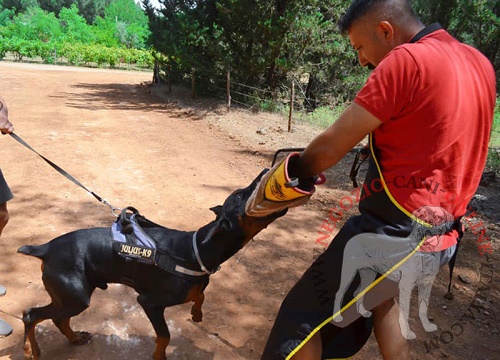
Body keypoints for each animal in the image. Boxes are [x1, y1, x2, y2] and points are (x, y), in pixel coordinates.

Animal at [18, 171, 286, 360]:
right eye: (240, 196)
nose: (265, 170)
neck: (197, 250)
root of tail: (45, 248)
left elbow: (199, 295)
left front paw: (196, 313)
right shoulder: (149, 302)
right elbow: (165, 336)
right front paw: (159, 355)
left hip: (73, 296)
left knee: (59, 320)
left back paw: (74, 339)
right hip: (75, 297)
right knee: (32, 315)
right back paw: (31, 350)